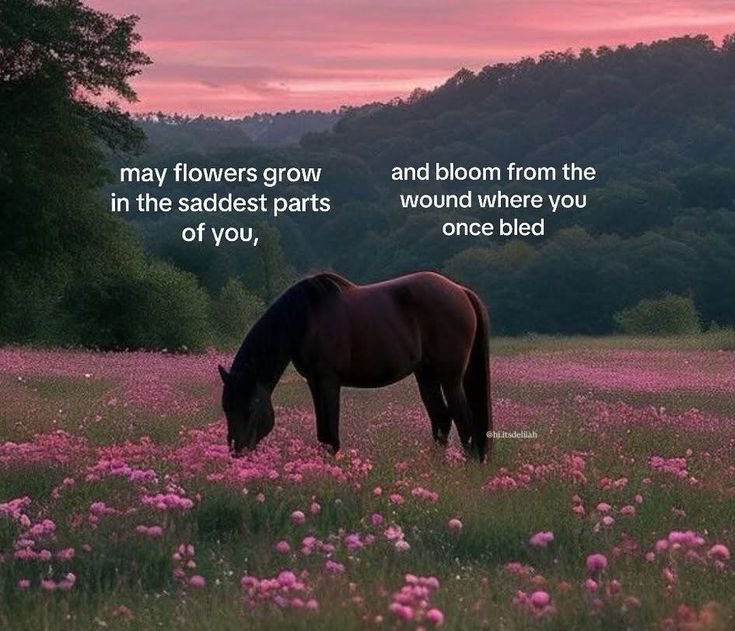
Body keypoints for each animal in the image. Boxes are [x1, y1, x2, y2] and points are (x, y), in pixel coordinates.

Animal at [218, 271, 492, 462]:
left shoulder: (329, 380)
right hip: (426, 374)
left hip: (450, 376)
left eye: (251, 406)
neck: (306, 318)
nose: (237, 451)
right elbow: (323, 433)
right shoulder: (314, 381)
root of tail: (461, 291)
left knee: (464, 420)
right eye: (226, 407)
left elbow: (331, 434)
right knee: (442, 419)